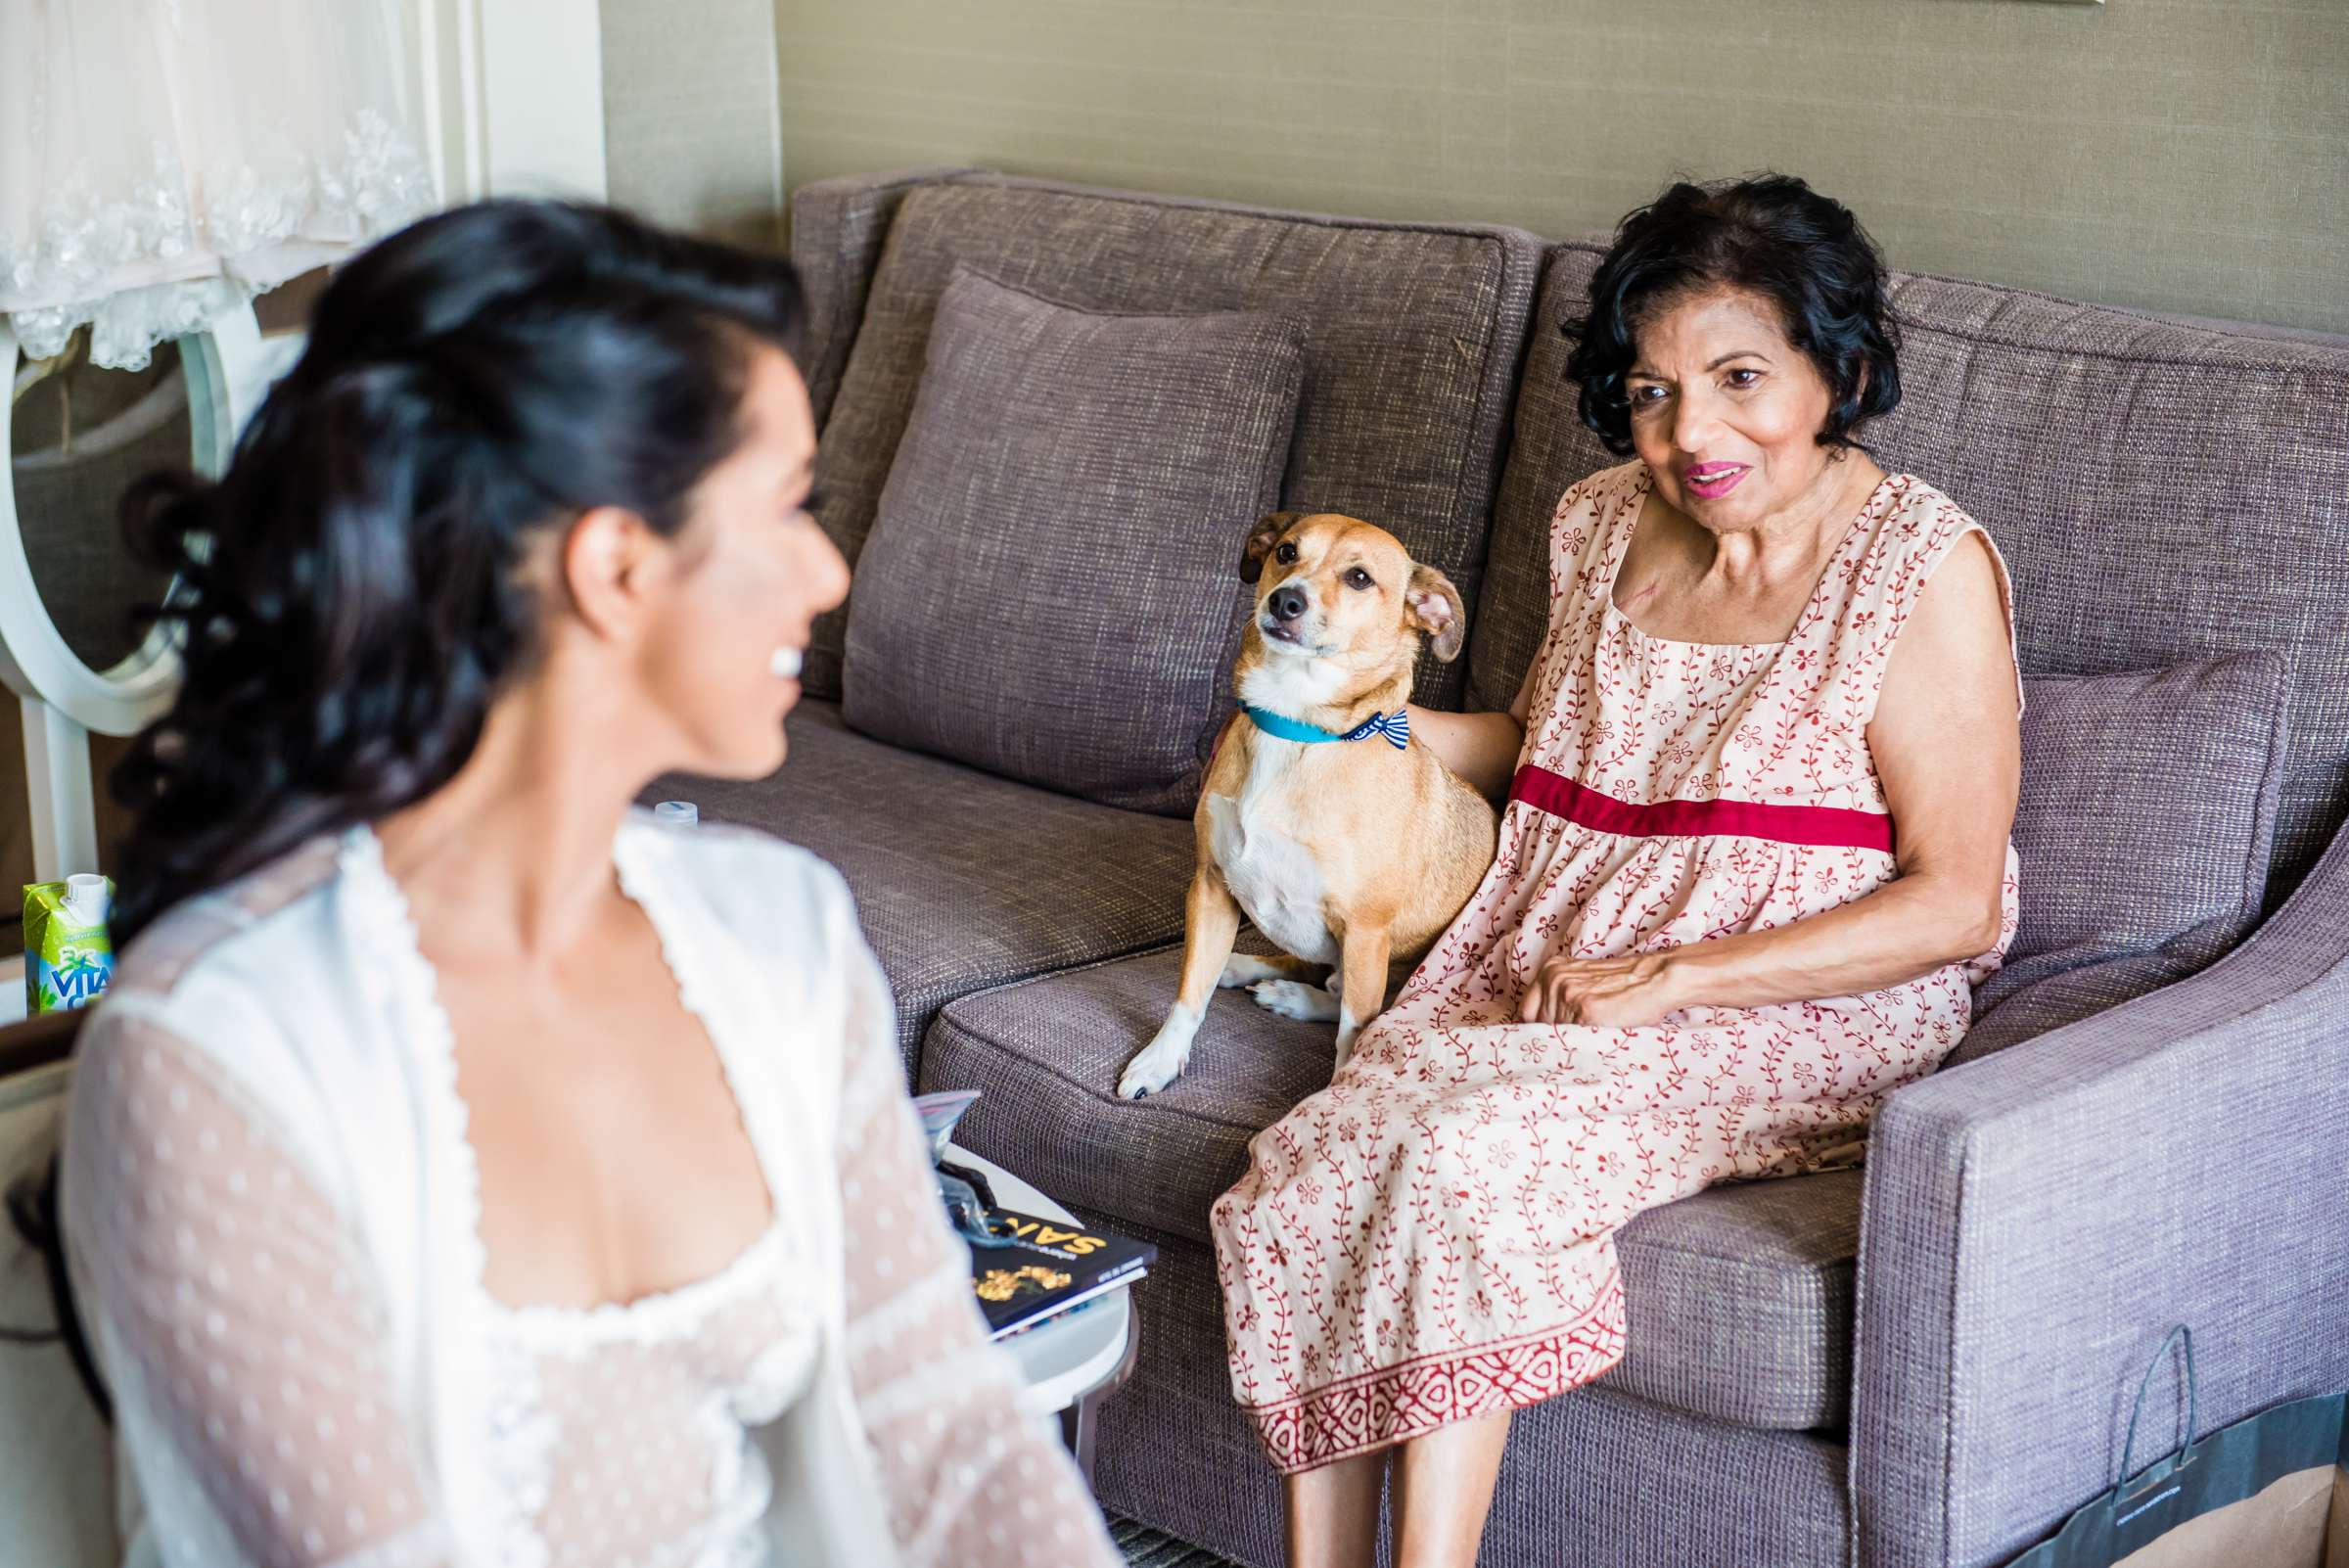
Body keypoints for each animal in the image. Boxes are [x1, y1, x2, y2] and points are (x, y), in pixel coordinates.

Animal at [1123, 509, 1503, 1098]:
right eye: (1286, 552)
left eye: (1360, 578)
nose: (1285, 601)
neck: (1293, 725)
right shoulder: (1210, 885)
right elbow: (1189, 996)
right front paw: (1160, 1060)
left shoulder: (1365, 932)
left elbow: (1353, 1032)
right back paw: (1243, 968)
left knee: (1349, 999)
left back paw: (1293, 998)